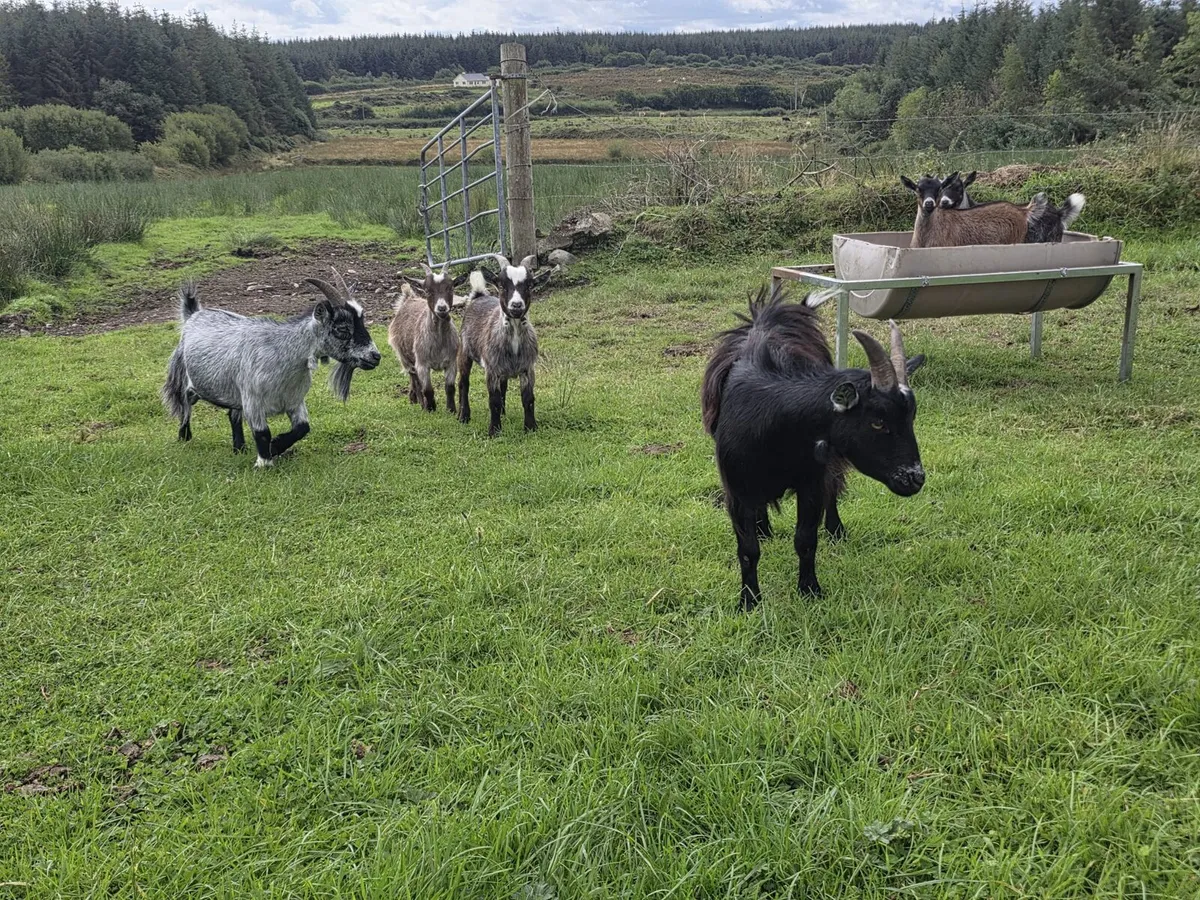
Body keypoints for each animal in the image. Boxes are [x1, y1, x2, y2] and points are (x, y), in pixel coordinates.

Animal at [161, 272, 381, 467]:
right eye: (342, 329)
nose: (375, 356)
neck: (283, 357)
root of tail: (193, 314)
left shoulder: (294, 400)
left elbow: (303, 428)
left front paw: (276, 447)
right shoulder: (253, 401)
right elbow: (262, 433)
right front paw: (264, 462)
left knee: (233, 415)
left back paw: (239, 448)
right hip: (184, 377)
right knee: (185, 405)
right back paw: (185, 437)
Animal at [388, 263, 459, 413]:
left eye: (450, 288)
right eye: (427, 291)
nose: (442, 308)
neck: (439, 342)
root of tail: (408, 298)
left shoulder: (451, 362)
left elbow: (450, 388)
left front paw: (451, 410)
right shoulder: (422, 364)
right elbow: (427, 389)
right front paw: (430, 409)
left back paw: (412, 398)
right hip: (404, 357)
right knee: (414, 379)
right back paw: (420, 402)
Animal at [457, 254, 539, 437]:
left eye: (530, 285)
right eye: (501, 285)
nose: (516, 305)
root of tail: (479, 295)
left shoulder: (527, 368)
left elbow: (528, 399)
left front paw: (531, 427)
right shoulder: (492, 370)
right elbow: (493, 400)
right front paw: (494, 431)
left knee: (504, 387)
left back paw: (502, 412)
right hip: (464, 352)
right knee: (463, 383)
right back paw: (464, 416)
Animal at [701, 286, 925, 609]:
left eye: (911, 417)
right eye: (877, 422)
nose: (914, 478)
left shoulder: (811, 483)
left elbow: (806, 540)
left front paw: (810, 590)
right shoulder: (737, 490)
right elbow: (748, 550)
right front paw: (749, 601)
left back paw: (835, 530)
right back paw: (764, 529)